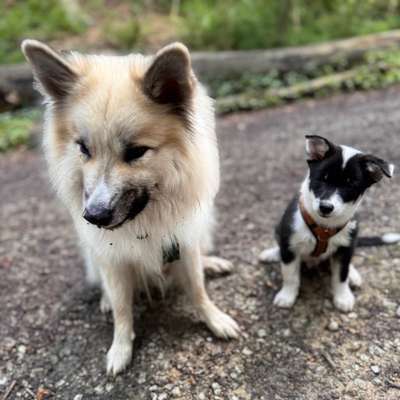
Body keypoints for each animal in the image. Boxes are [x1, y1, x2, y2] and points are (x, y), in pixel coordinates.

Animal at [21, 39, 239, 376]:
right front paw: (120, 348)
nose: (93, 216)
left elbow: (198, 289)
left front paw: (215, 319)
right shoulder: (112, 259)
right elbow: (123, 309)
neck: (143, 222)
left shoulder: (184, 241)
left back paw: (211, 263)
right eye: (83, 148)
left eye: (136, 152)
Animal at [260, 136, 396, 314]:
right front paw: (287, 295)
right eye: (322, 179)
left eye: (350, 185)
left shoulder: (345, 246)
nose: (325, 207)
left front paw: (343, 297)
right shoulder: (290, 242)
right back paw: (272, 254)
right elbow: (290, 274)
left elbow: (341, 275)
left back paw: (353, 275)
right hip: (280, 229)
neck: (324, 226)